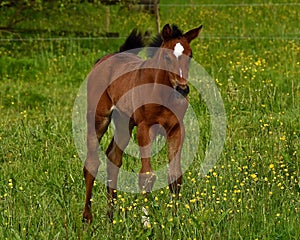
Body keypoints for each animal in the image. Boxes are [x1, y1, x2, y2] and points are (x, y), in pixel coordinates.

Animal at [83, 23, 203, 222]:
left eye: (190, 55)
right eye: (167, 57)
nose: (182, 89)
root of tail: (103, 60)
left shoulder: (176, 129)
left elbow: (175, 176)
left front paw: (176, 220)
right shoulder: (145, 129)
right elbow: (146, 176)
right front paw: (147, 222)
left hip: (124, 122)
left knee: (113, 158)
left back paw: (110, 218)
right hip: (98, 117)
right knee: (91, 164)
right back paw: (87, 219)